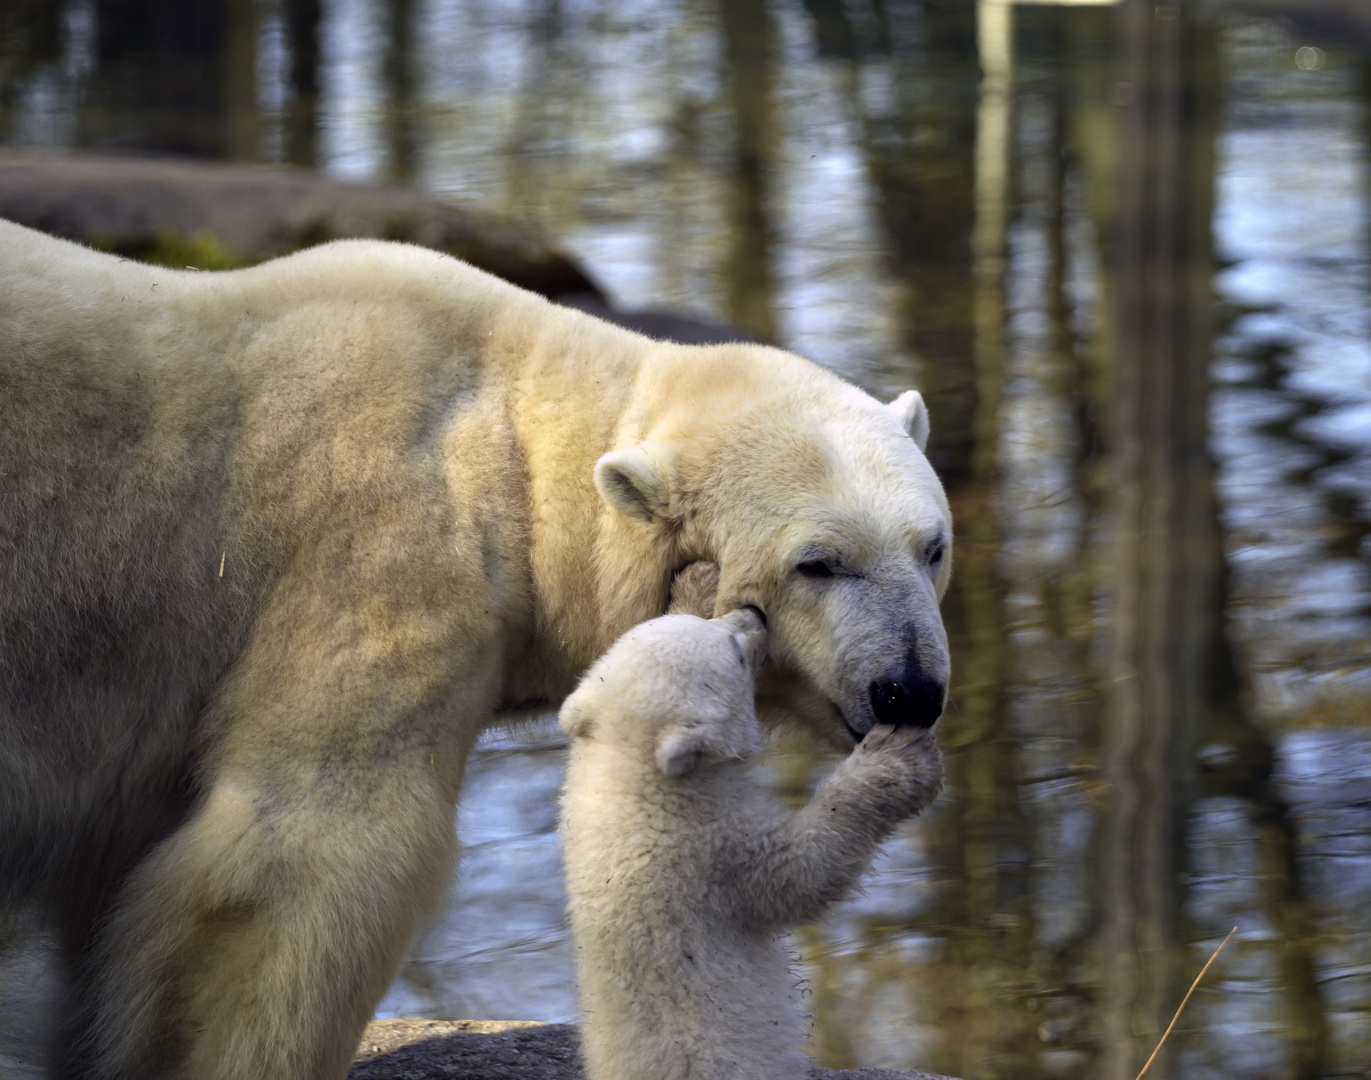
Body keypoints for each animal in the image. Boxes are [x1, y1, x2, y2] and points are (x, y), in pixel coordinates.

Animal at [0, 219, 954, 1080]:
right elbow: (302, 852)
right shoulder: (375, 565)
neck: (511, 440)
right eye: (816, 563)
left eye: (932, 546)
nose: (910, 690)